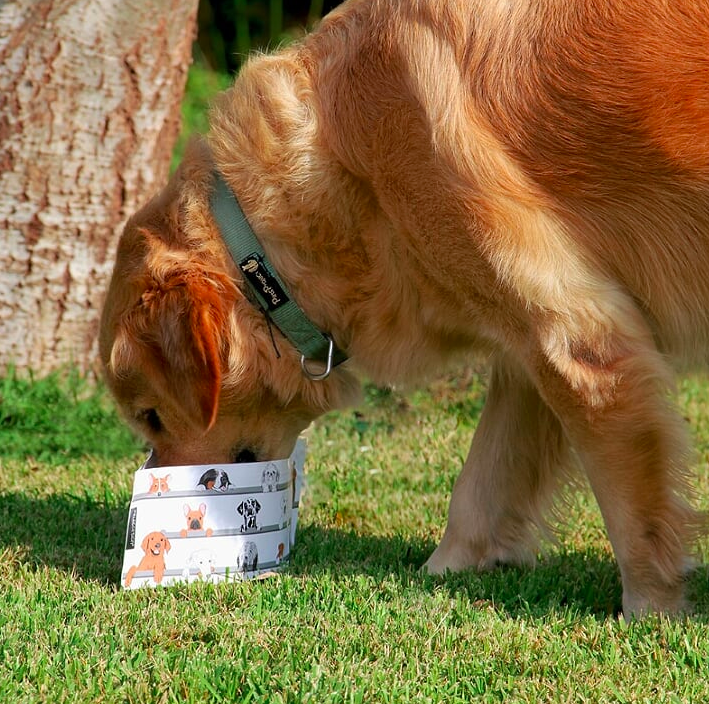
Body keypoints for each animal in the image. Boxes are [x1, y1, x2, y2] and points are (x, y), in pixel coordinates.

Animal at [99, 0, 708, 612]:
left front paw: (651, 608)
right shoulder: (529, 341)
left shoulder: (578, 340)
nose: (151, 502)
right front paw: (448, 568)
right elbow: (484, 479)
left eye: (151, 416)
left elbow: (633, 518)